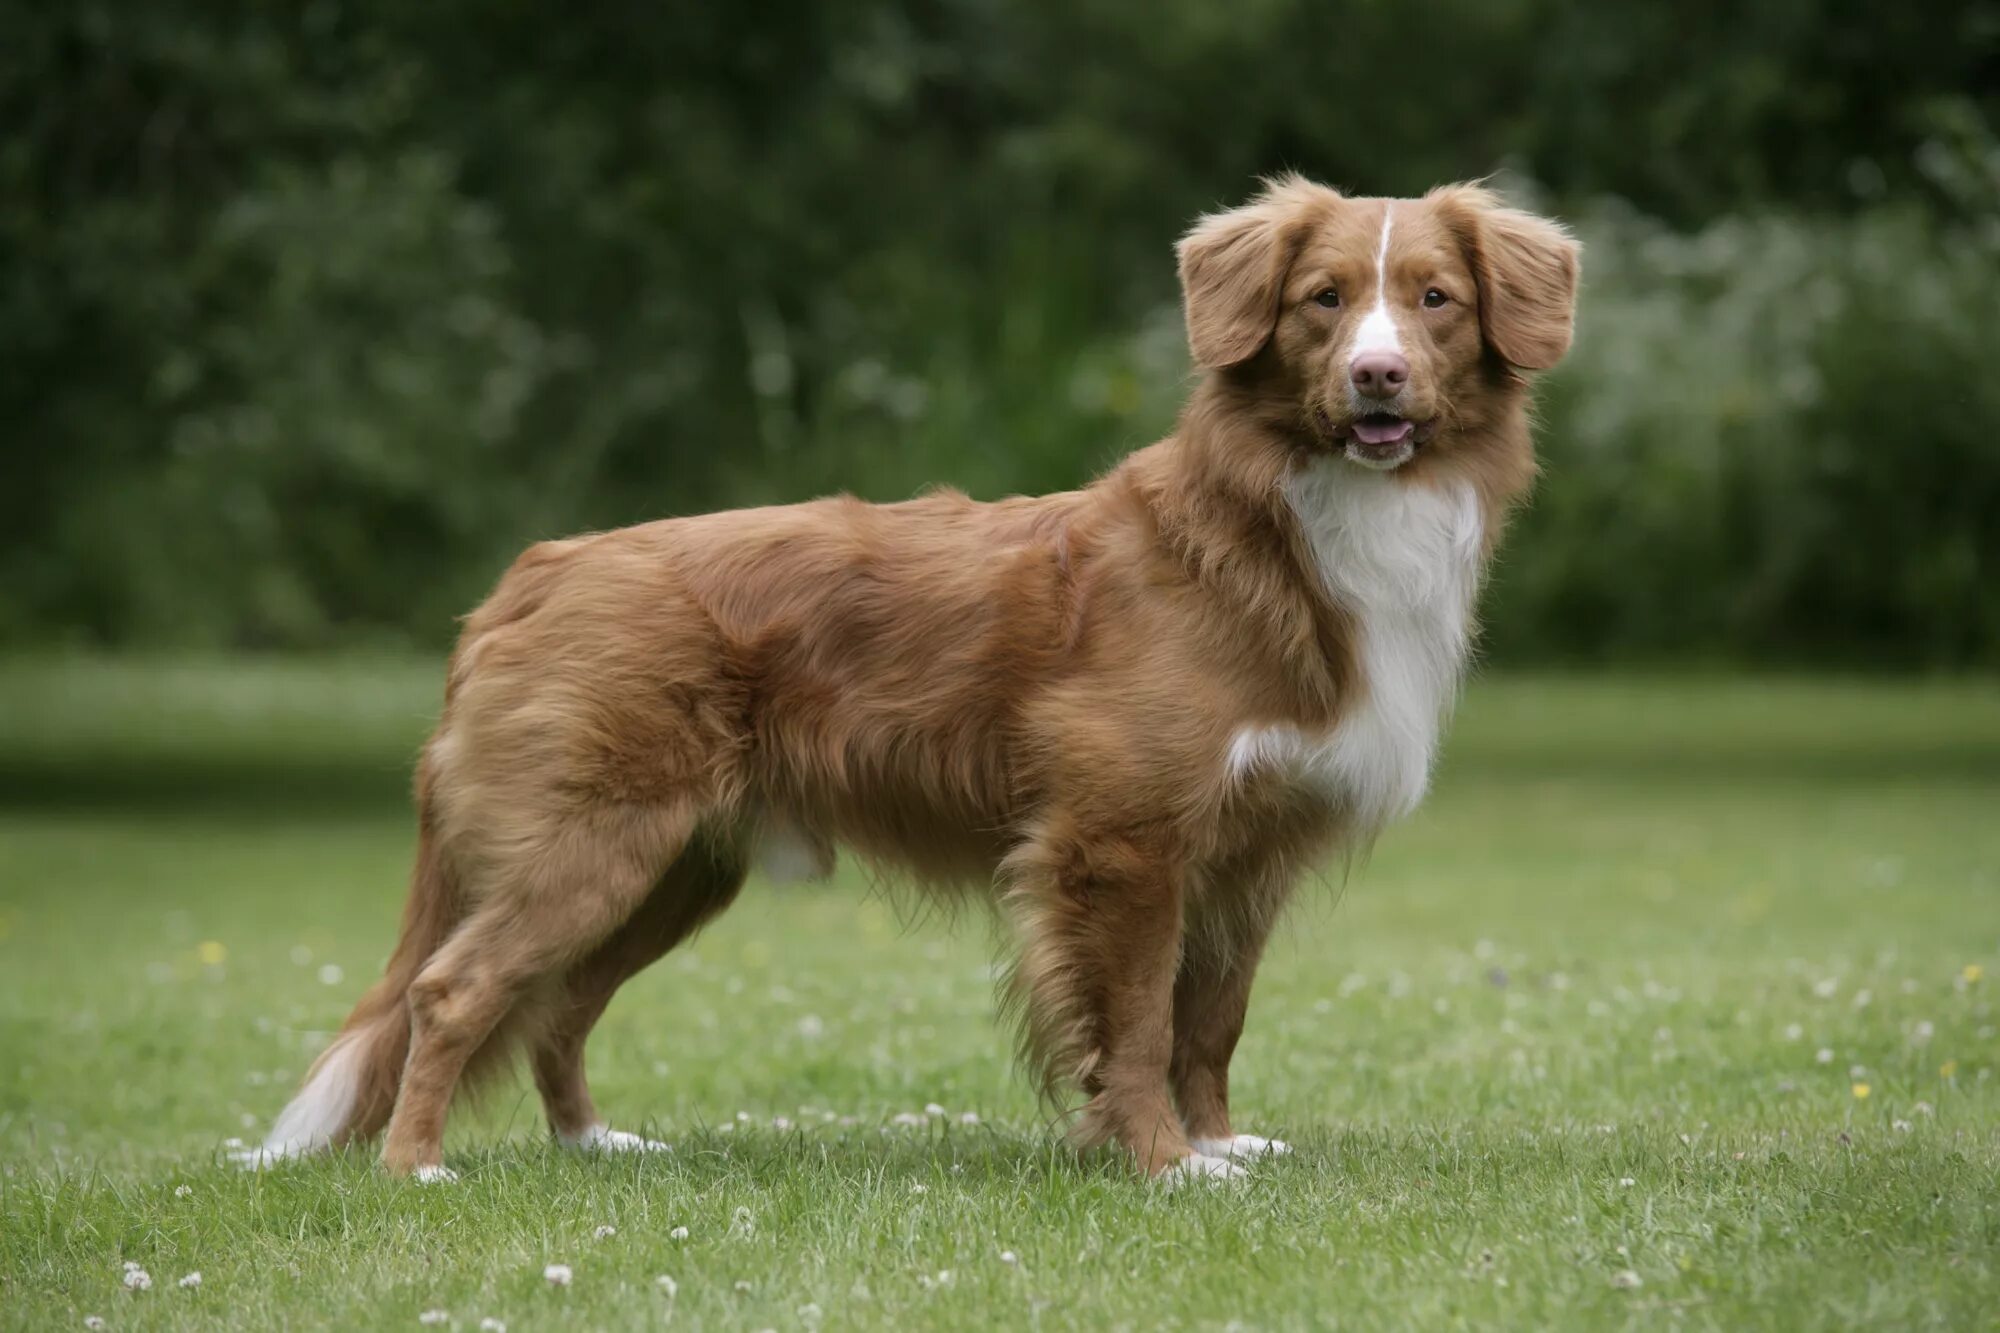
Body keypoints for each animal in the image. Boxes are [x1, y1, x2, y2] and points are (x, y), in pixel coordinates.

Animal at [238, 174, 1576, 1176]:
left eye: (1434, 299)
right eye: (1320, 300)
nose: (1375, 376)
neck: (1279, 531)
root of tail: (533, 571)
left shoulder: (1247, 856)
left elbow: (1209, 1020)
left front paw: (1217, 1142)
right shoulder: (1121, 843)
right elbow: (1138, 1023)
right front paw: (1160, 1162)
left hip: (672, 870)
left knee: (557, 1008)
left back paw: (592, 1145)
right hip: (590, 848)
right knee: (455, 992)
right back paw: (414, 1166)